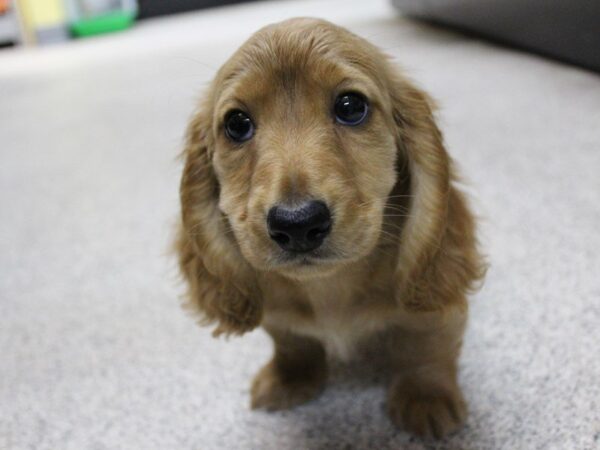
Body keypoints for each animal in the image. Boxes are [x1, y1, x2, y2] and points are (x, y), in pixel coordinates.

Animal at [176, 18, 486, 440]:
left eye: (351, 106)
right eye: (237, 124)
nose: (298, 223)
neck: (329, 287)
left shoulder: (434, 310)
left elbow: (424, 346)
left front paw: (426, 398)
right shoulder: (278, 314)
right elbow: (293, 343)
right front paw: (290, 378)